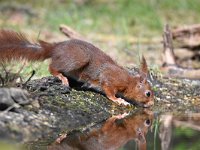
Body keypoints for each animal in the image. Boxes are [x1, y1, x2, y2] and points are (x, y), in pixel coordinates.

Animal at [0, 29, 155, 106]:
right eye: (148, 93)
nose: (152, 104)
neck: (129, 82)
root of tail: (55, 48)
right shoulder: (110, 78)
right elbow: (109, 90)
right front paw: (119, 100)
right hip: (78, 58)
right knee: (52, 67)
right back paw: (61, 77)